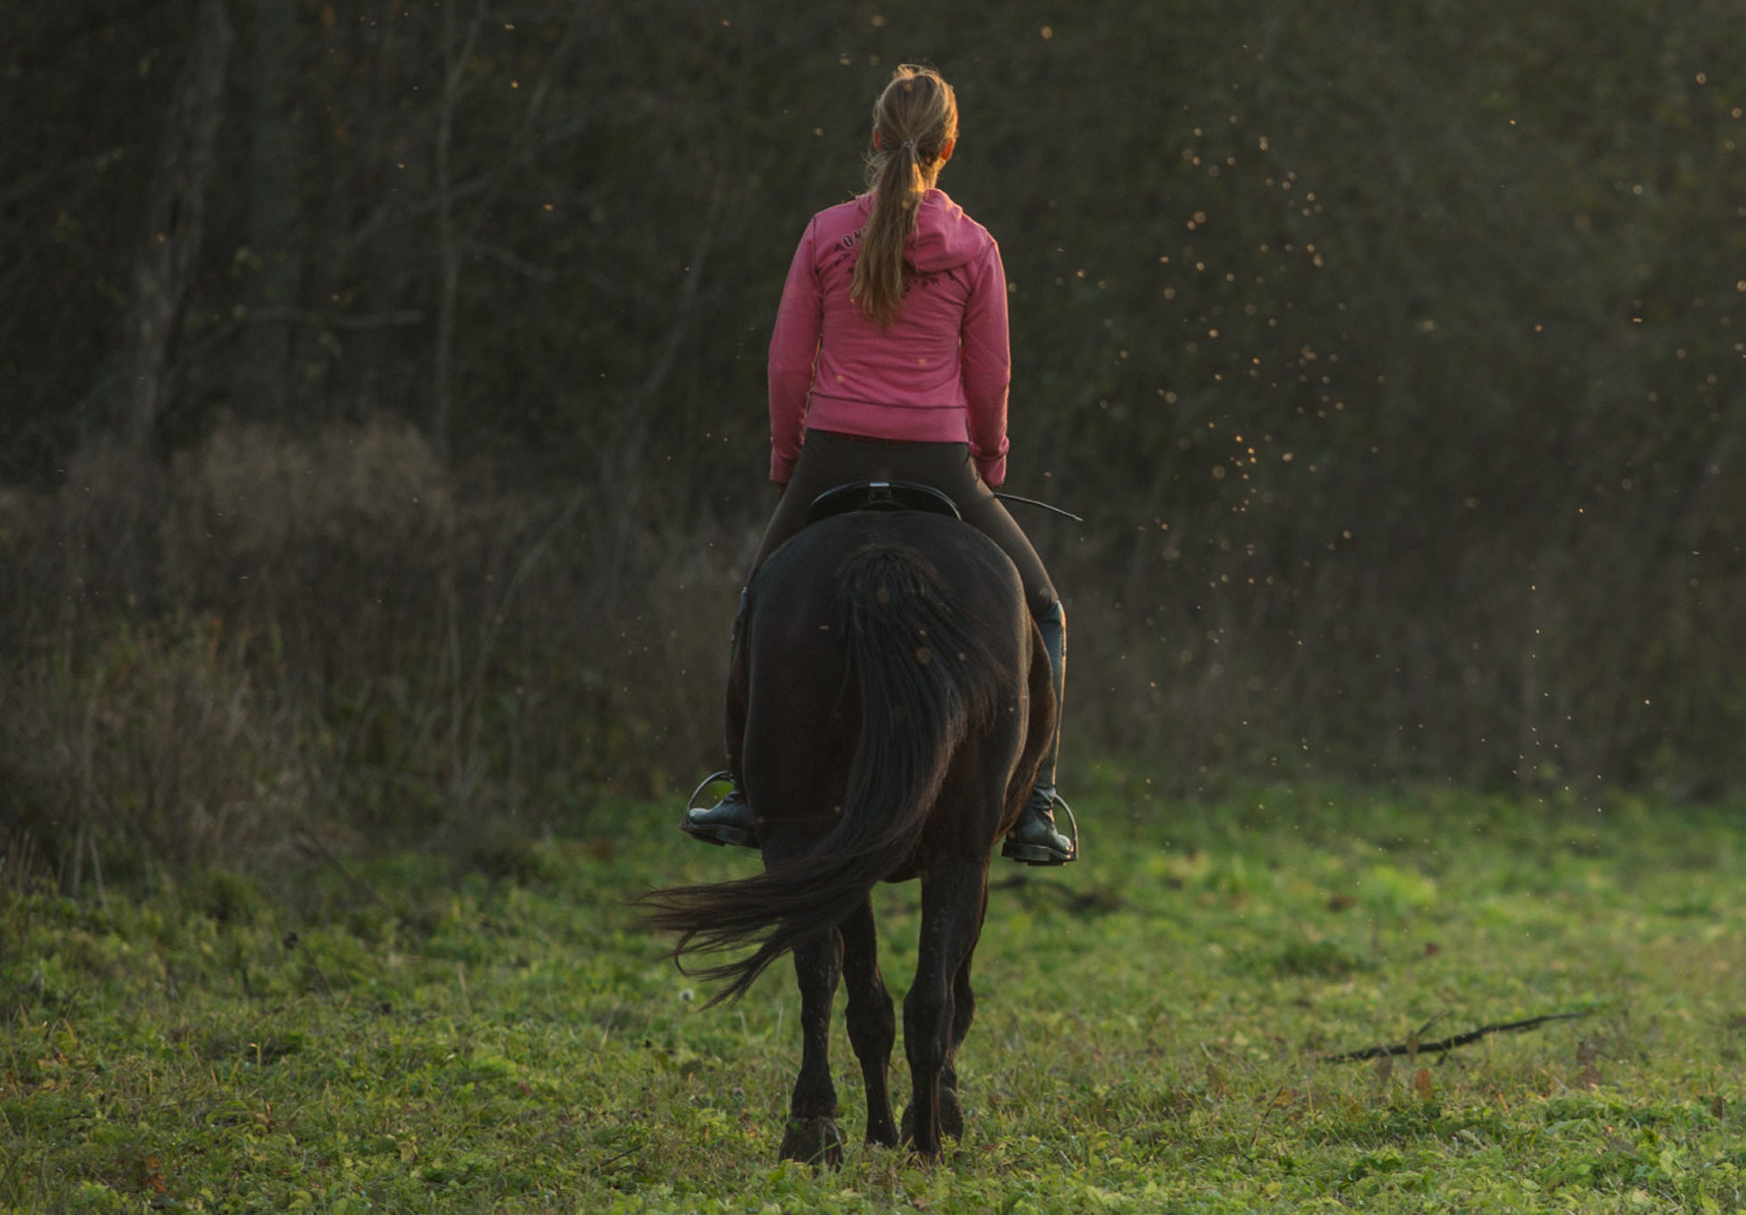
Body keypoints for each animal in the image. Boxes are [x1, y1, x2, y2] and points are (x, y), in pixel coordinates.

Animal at [639, 500, 1056, 1163]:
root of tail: (884, 563)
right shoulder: (974, 858)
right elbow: (944, 990)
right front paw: (931, 1117)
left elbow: (867, 996)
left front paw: (889, 1127)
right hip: (950, 848)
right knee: (925, 996)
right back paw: (921, 1142)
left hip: (809, 838)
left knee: (827, 976)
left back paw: (818, 1128)